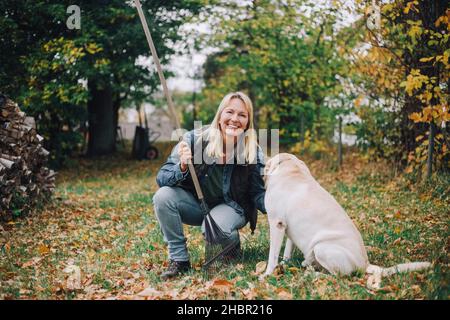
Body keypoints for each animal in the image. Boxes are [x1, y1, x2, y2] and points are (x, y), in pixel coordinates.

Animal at [262, 153, 430, 288]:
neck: (291, 168)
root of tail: (365, 264)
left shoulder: (276, 224)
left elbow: (272, 255)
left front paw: (267, 274)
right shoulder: (287, 227)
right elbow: (286, 251)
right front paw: (284, 264)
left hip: (322, 248)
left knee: (338, 276)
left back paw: (312, 274)